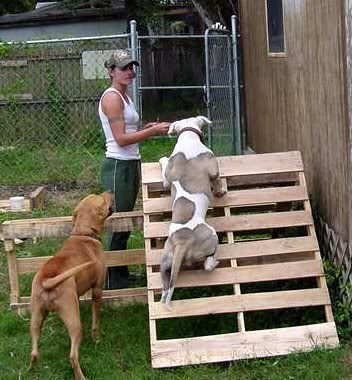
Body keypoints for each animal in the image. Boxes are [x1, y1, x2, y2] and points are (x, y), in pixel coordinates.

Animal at [30, 191, 113, 378]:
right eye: (102, 199)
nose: (109, 191)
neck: (83, 234)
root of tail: (48, 279)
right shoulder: (97, 290)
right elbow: (96, 320)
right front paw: (97, 338)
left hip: (36, 318)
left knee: (34, 352)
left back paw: (31, 369)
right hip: (74, 323)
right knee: (73, 357)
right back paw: (81, 376)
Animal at [157, 115, 224, 308]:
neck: (187, 136)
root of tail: (182, 243)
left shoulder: (166, 178)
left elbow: (165, 170)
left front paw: (162, 159)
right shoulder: (213, 169)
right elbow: (217, 181)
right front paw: (221, 192)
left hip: (166, 262)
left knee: (166, 289)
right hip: (211, 236)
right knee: (208, 264)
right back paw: (215, 262)